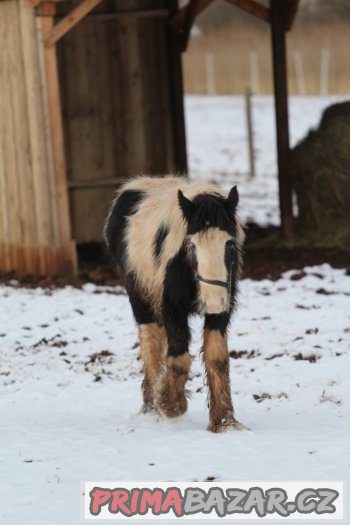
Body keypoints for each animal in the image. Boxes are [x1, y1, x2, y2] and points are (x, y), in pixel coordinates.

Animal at [105, 175, 245, 430]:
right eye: (192, 246)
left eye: (229, 244)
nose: (212, 303)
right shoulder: (172, 307)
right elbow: (179, 357)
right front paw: (170, 404)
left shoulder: (223, 309)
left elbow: (217, 357)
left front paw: (225, 422)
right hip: (139, 296)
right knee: (150, 343)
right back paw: (152, 407)